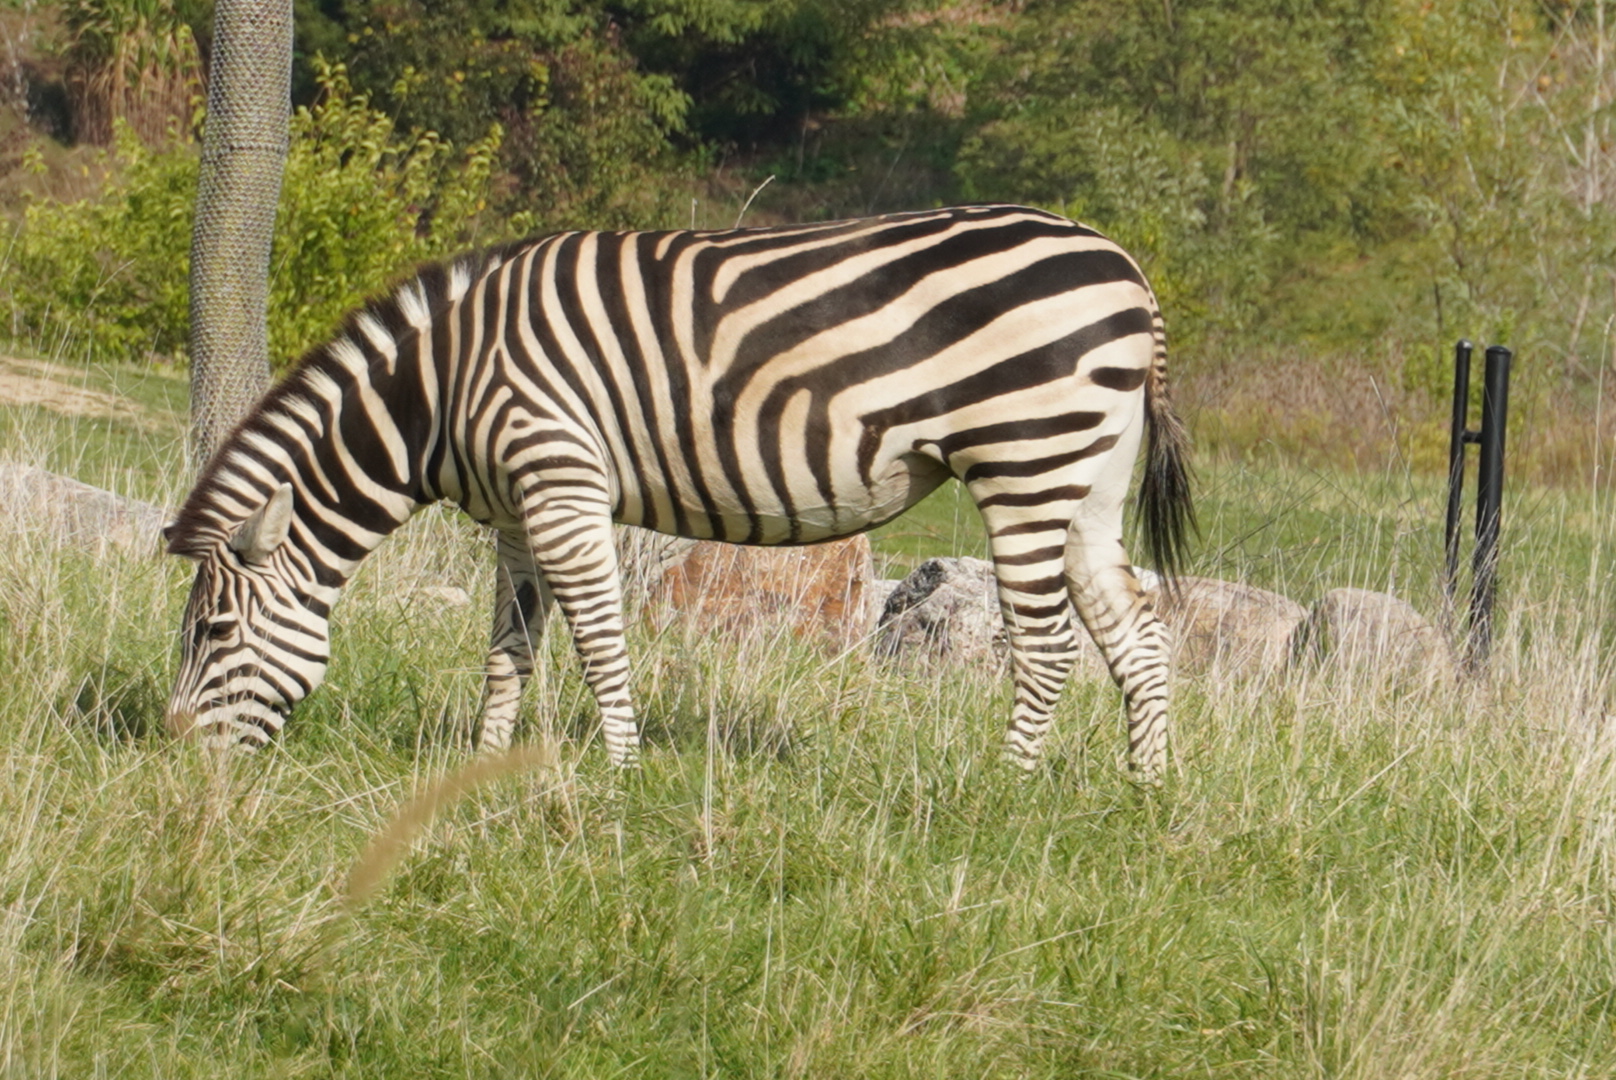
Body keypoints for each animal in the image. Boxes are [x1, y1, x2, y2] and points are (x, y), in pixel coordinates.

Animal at [163, 204, 1193, 781]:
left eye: (210, 633)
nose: (174, 765)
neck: (442, 390)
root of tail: (1127, 267)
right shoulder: (515, 515)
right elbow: (509, 648)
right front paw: (484, 769)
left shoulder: (560, 481)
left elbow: (597, 639)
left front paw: (618, 774)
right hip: (1087, 480)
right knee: (1137, 635)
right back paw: (1145, 792)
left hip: (1025, 460)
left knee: (1050, 646)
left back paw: (1006, 789)